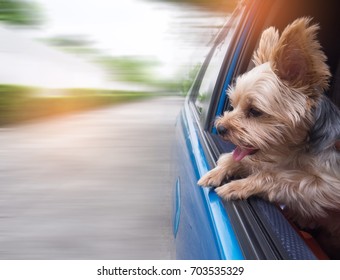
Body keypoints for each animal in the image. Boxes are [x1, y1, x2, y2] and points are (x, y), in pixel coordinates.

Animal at [197, 17, 340, 258]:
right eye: (233, 104)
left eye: (255, 111)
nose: (221, 127)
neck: (296, 149)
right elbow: (234, 159)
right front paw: (217, 172)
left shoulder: (327, 186)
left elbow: (276, 176)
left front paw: (239, 186)